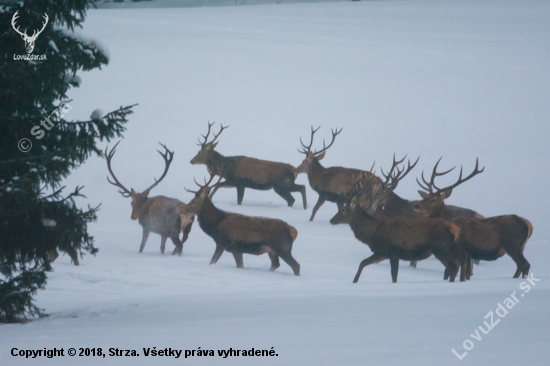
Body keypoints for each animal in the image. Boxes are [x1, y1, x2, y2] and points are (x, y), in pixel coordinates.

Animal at [332, 154, 466, 284]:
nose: (332, 220)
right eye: (339, 208)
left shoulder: (391, 251)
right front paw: (354, 281)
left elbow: (393, 275)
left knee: (454, 267)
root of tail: (457, 229)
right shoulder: (383, 253)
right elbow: (363, 263)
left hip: (440, 248)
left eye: (343, 210)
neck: (372, 232)